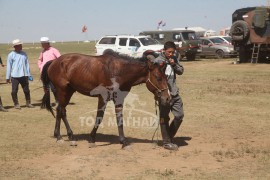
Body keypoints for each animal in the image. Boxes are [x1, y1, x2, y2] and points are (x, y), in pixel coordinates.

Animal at [40, 51, 170, 149]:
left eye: (166, 77)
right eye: (158, 78)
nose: (167, 97)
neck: (118, 71)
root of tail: (54, 62)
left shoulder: (119, 99)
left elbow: (119, 119)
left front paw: (123, 142)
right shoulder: (103, 97)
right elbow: (99, 116)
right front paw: (92, 139)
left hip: (66, 92)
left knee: (60, 111)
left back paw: (63, 136)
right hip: (63, 91)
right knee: (61, 111)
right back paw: (65, 137)